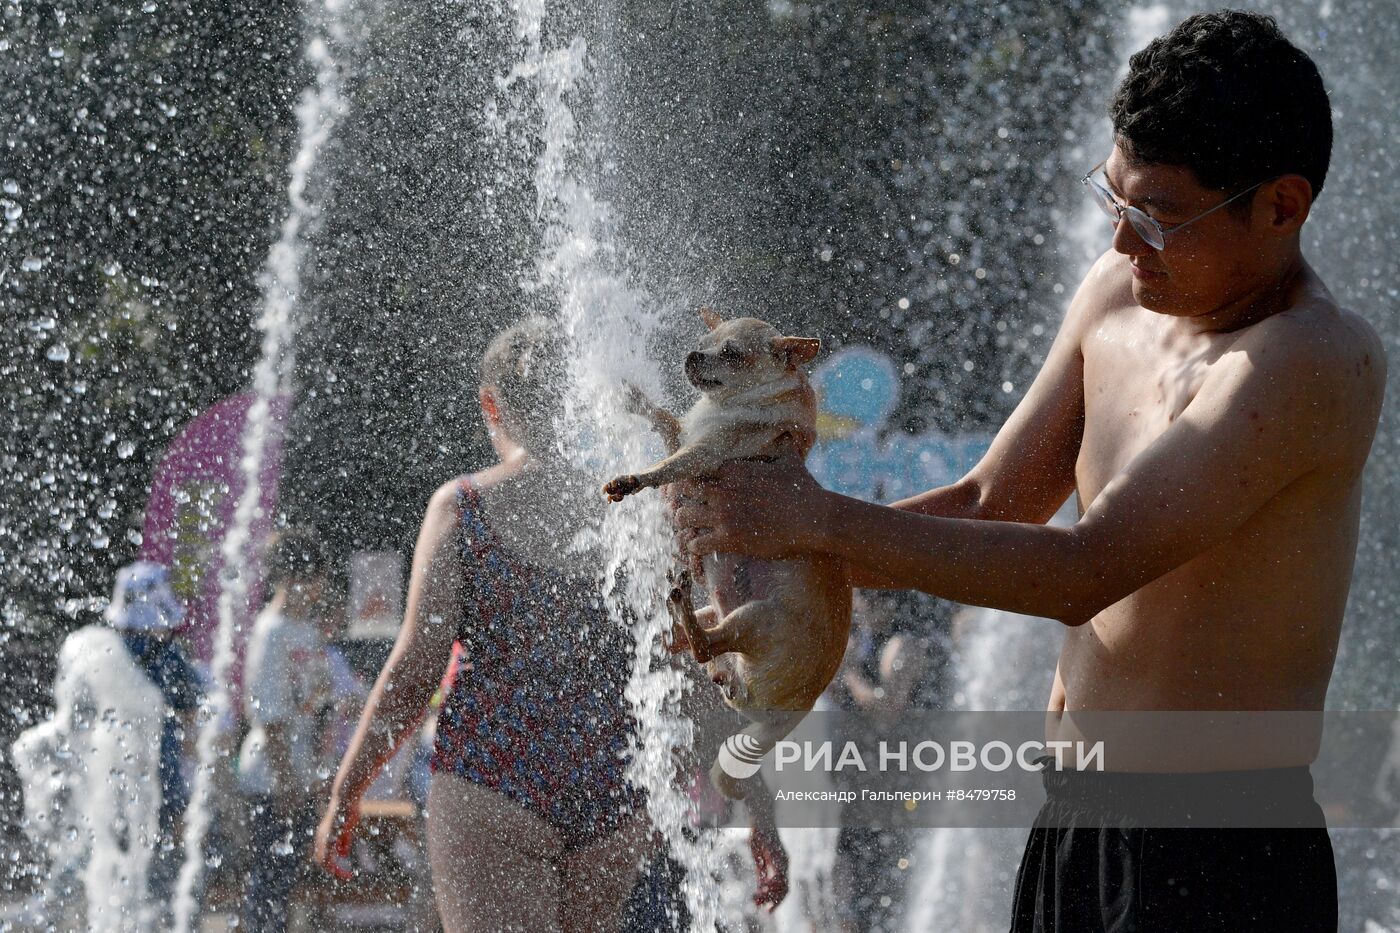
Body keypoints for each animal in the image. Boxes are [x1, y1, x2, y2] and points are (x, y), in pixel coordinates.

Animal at [602, 308, 851, 795]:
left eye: (731, 354)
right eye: (704, 341)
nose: (692, 354)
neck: (728, 407)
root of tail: (793, 716)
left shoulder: (702, 454)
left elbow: (666, 467)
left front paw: (632, 480)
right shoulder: (687, 436)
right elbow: (666, 419)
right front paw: (636, 398)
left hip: (756, 618)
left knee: (705, 647)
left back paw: (680, 606)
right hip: (721, 617)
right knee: (696, 648)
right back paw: (674, 622)